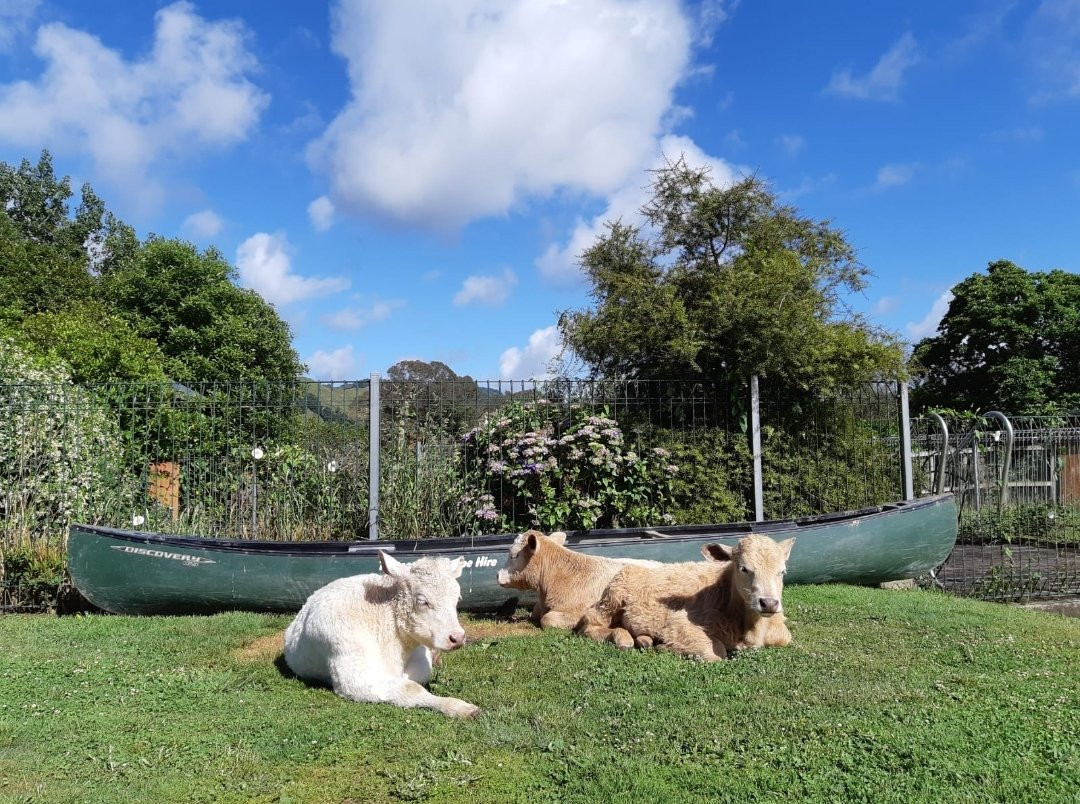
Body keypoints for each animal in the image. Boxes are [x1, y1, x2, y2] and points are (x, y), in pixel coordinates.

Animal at [282, 553, 477, 717]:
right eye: (422, 601)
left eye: (458, 598)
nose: (457, 637)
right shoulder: (352, 669)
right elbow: (410, 687)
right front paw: (459, 707)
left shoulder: (420, 657)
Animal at [578, 533, 799, 661]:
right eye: (743, 568)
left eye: (782, 571)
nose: (768, 603)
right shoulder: (680, 622)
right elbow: (717, 653)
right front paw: (665, 647)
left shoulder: (782, 634)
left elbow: (784, 638)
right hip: (611, 599)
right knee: (589, 623)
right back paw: (621, 637)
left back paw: (644, 640)